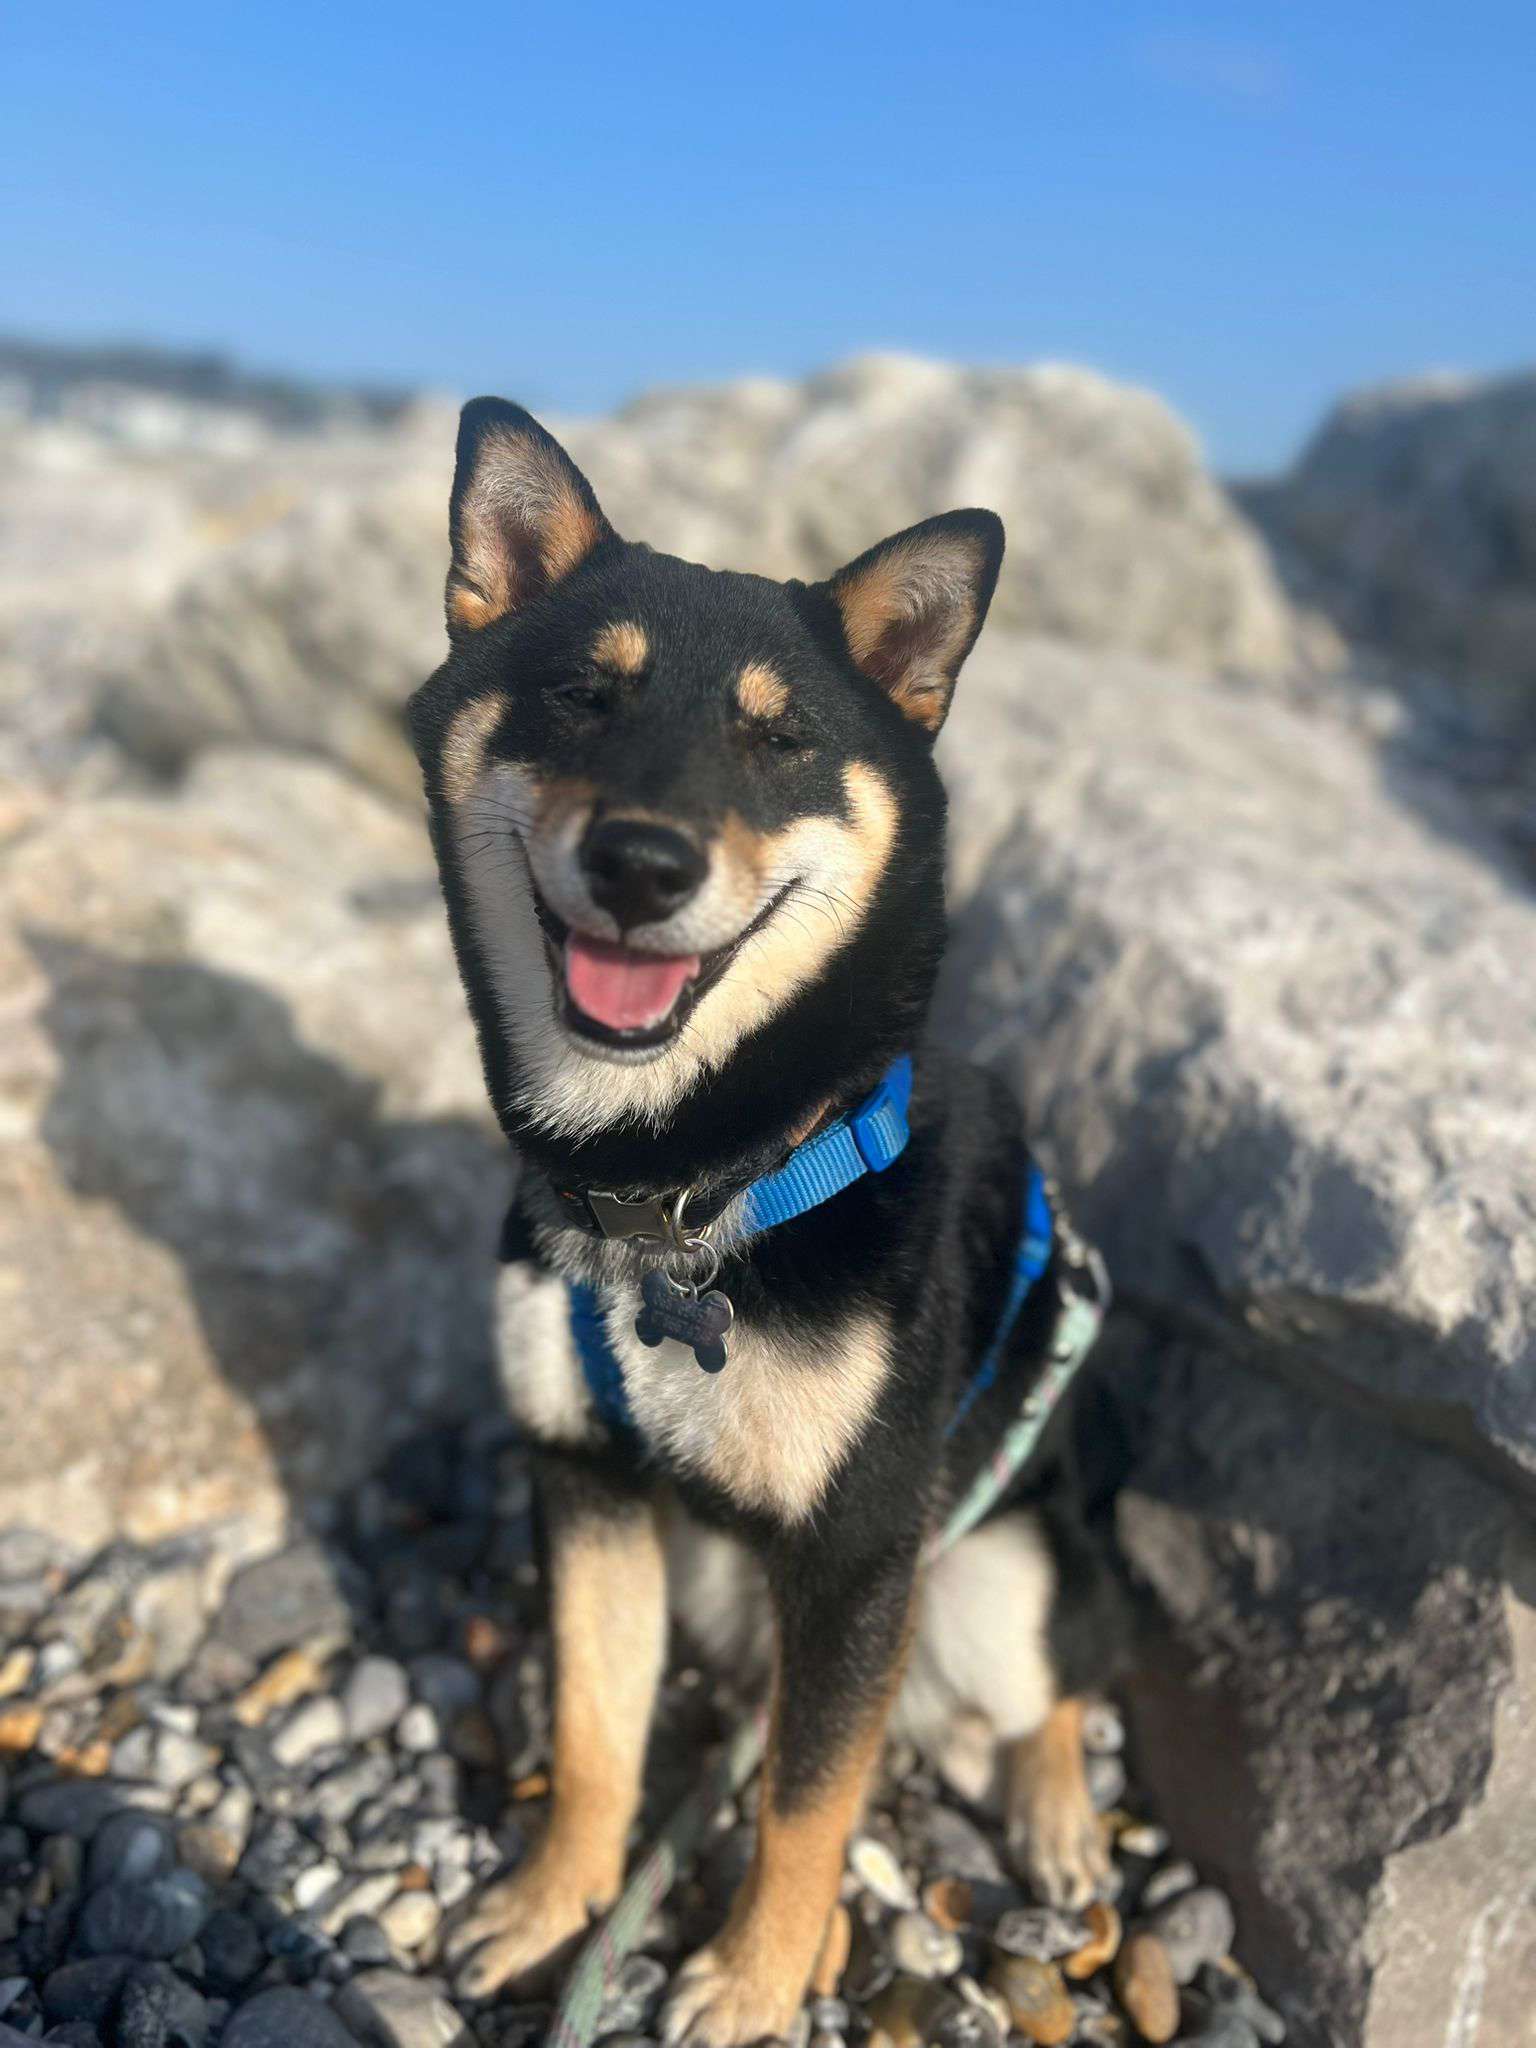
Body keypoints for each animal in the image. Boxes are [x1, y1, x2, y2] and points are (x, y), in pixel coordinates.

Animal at [408, 399, 1124, 2045]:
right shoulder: (585, 1481)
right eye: (580, 694)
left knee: (1055, 1678)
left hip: (1002, 1568)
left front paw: (749, 1978)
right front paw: (555, 1904)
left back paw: (1058, 1813)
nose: (643, 861)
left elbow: (807, 1799)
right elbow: (594, 1724)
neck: (674, 1192)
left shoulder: (859, 1550)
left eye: (780, 735)